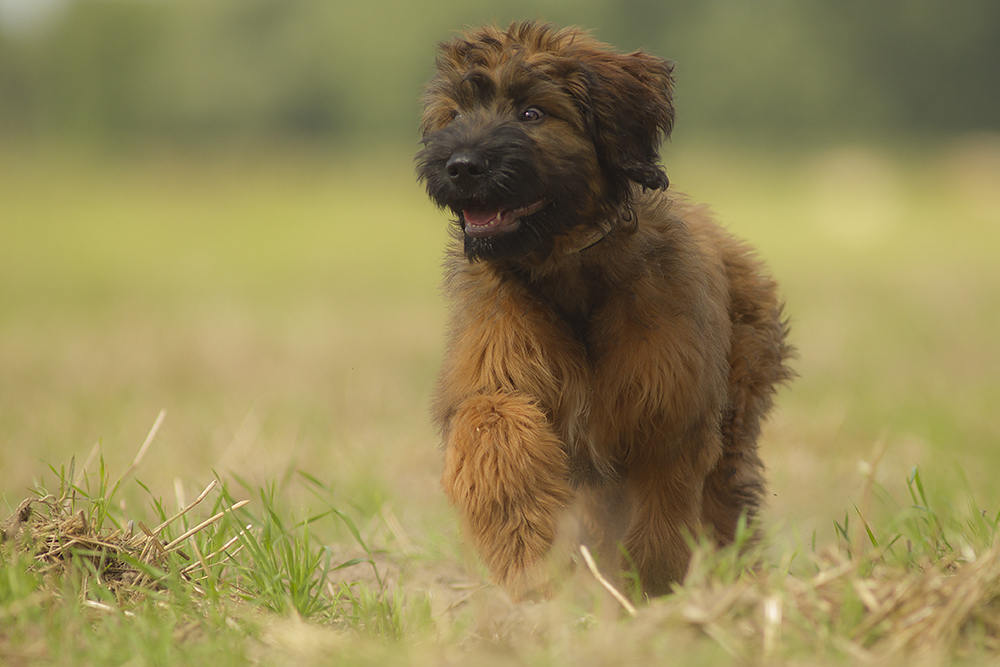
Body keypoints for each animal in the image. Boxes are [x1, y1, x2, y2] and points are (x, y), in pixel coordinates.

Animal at [414, 23, 788, 604]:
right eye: (454, 115)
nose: (461, 166)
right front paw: (529, 555)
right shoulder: (495, 369)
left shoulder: (669, 409)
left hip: (736, 407)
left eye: (532, 112)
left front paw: (654, 588)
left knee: (723, 501)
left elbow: (664, 508)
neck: (570, 272)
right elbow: (494, 426)